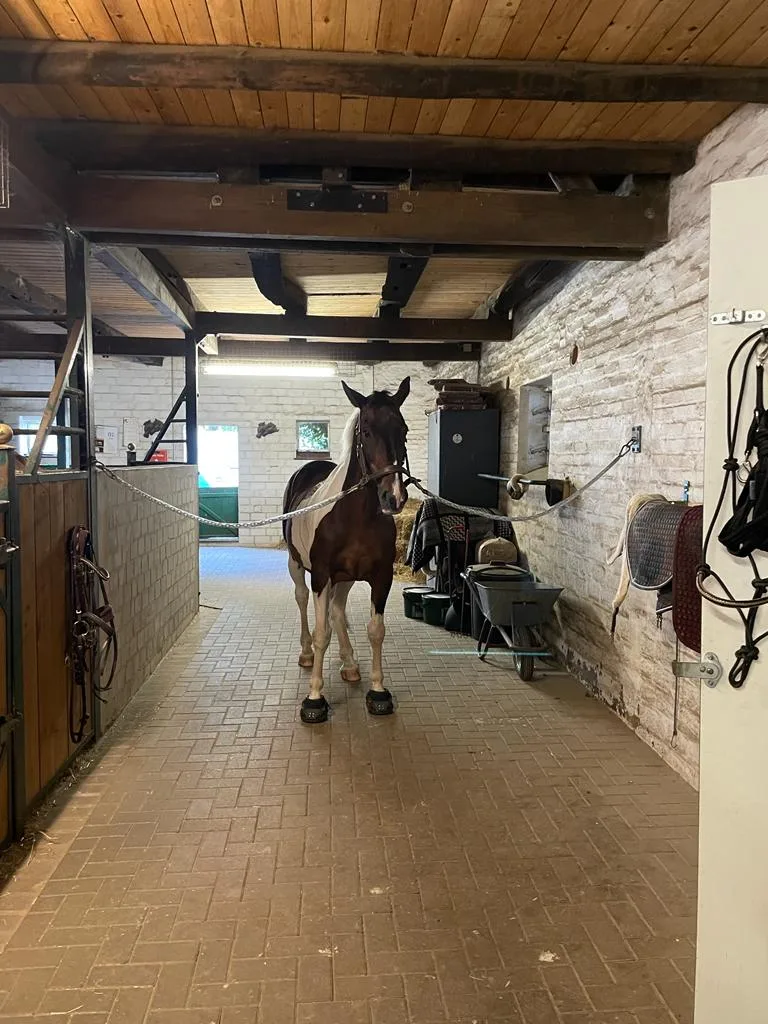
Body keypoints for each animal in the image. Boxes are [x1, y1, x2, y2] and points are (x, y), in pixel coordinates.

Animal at [282, 377, 411, 724]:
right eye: (365, 431)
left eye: (403, 429)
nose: (393, 497)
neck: (356, 516)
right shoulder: (321, 575)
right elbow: (321, 633)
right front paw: (314, 697)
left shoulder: (380, 577)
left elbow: (375, 630)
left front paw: (378, 691)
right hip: (297, 566)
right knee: (302, 600)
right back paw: (305, 653)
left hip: (345, 578)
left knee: (338, 610)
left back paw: (350, 664)